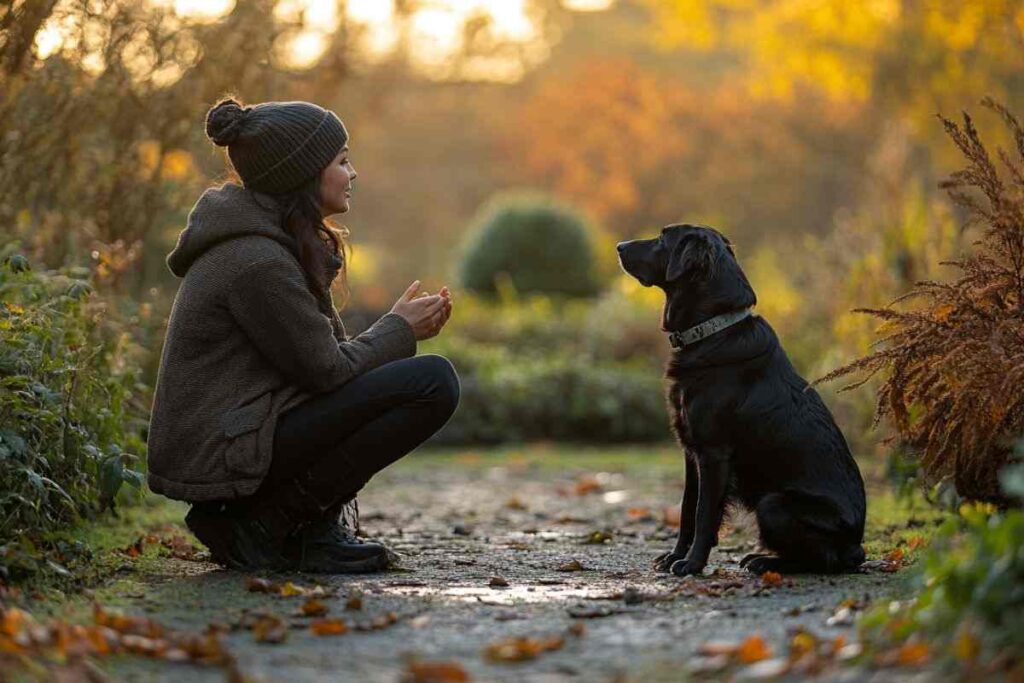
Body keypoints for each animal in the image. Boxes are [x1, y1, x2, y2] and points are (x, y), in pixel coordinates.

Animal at [614, 225, 864, 577]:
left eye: (663, 238)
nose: (619, 246)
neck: (712, 331)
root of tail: (857, 546)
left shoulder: (714, 453)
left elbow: (704, 514)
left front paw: (692, 564)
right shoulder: (692, 452)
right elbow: (687, 508)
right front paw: (675, 556)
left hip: (773, 504)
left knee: (821, 561)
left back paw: (765, 561)